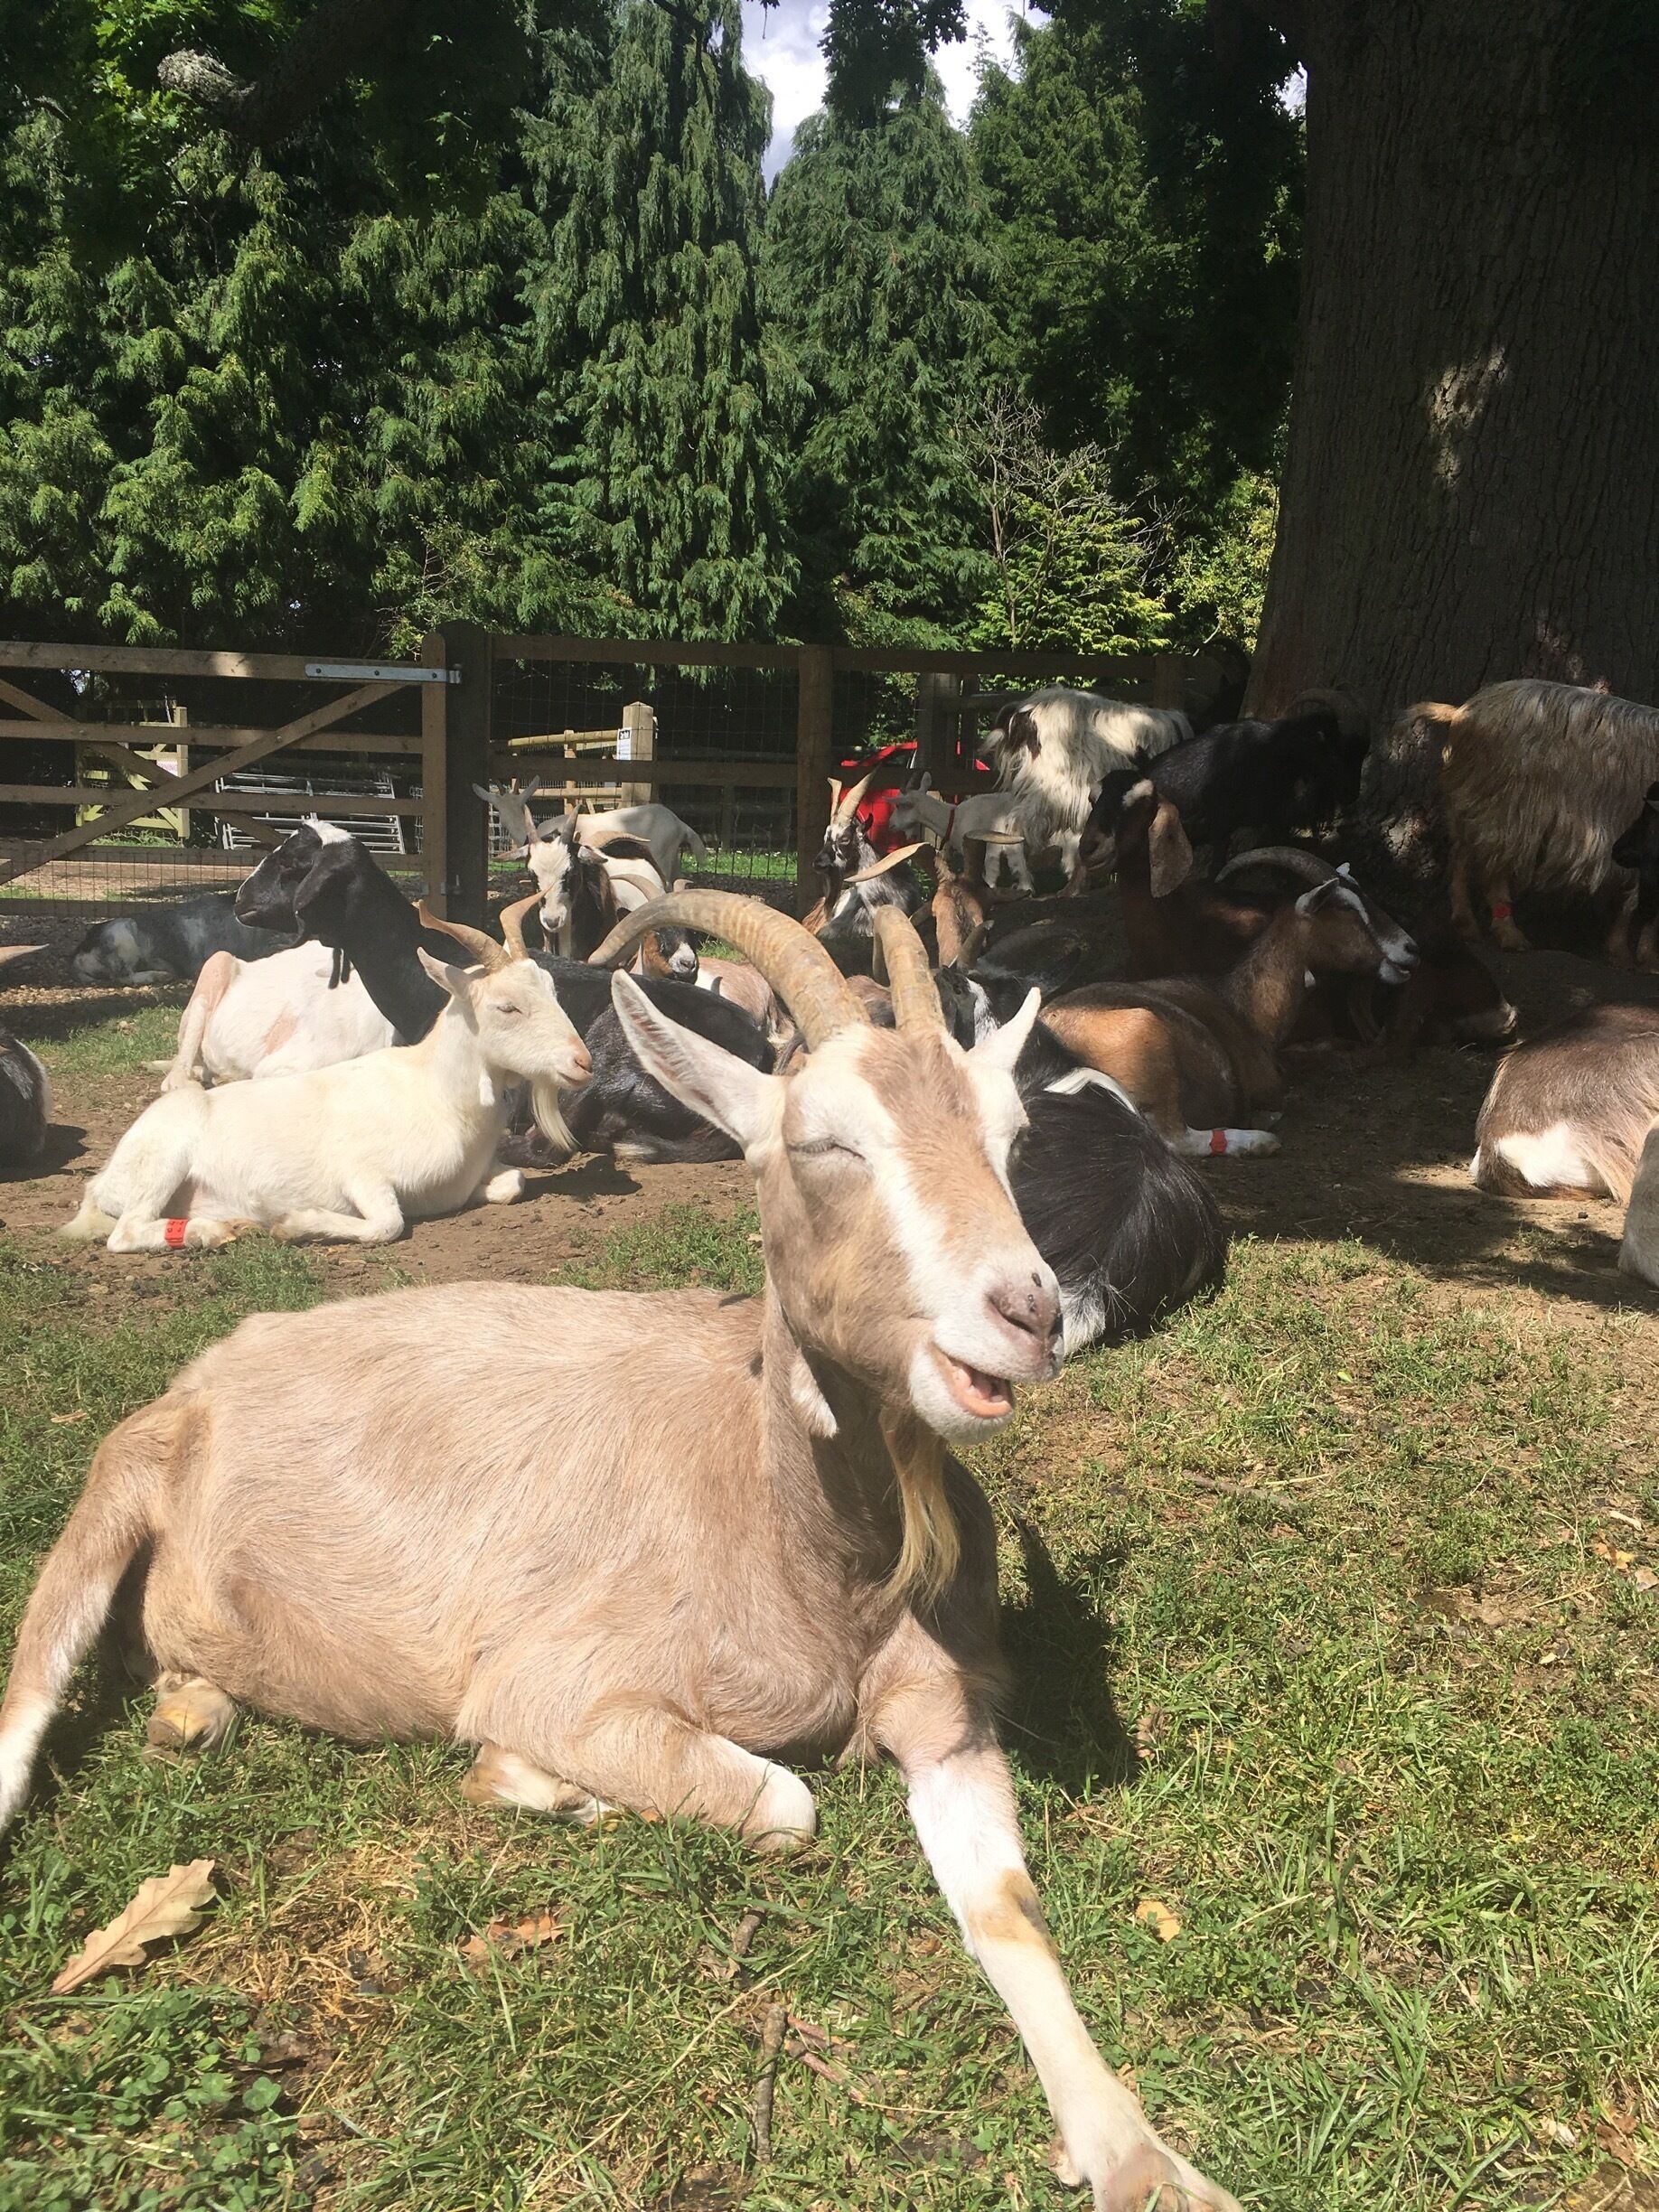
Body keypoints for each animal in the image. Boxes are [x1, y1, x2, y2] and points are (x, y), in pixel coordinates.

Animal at [1430, 679, 1659, 955]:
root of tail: (1462, 711)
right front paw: (1638, 955)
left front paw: (1624, 951)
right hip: (1509, 803)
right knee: (1492, 865)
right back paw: (1509, 935)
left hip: (1478, 795)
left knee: (1462, 851)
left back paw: (1467, 925)